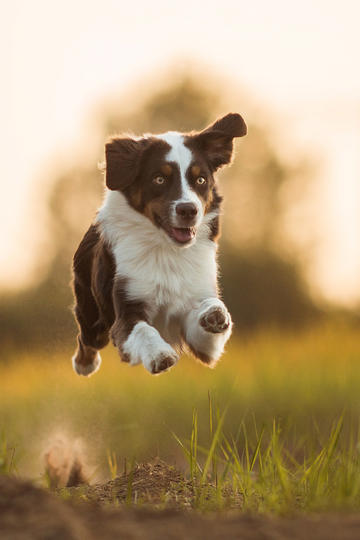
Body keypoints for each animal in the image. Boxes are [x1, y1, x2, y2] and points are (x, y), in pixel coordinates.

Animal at [72, 113, 248, 376]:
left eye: (200, 179)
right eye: (159, 179)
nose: (188, 210)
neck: (167, 250)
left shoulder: (201, 338)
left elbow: (211, 311)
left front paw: (214, 313)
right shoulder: (126, 311)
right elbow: (143, 329)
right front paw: (159, 354)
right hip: (92, 313)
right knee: (87, 338)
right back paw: (84, 364)